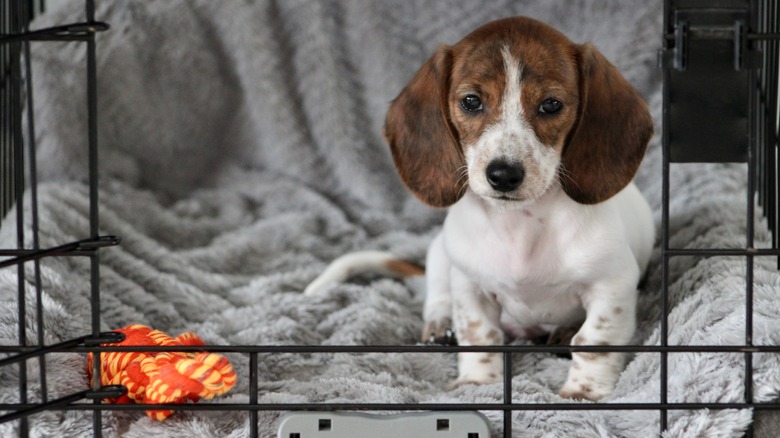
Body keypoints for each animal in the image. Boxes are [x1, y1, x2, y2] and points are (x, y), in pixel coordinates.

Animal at [304, 16, 652, 400]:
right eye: (471, 101)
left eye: (551, 105)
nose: (503, 175)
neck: (522, 224)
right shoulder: (471, 286)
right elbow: (479, 333)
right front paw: (478, 382)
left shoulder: (611, 286)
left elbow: (594, 340)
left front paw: (583, 391)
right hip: (442, 251)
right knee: (437, 293)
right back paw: (440, 325)